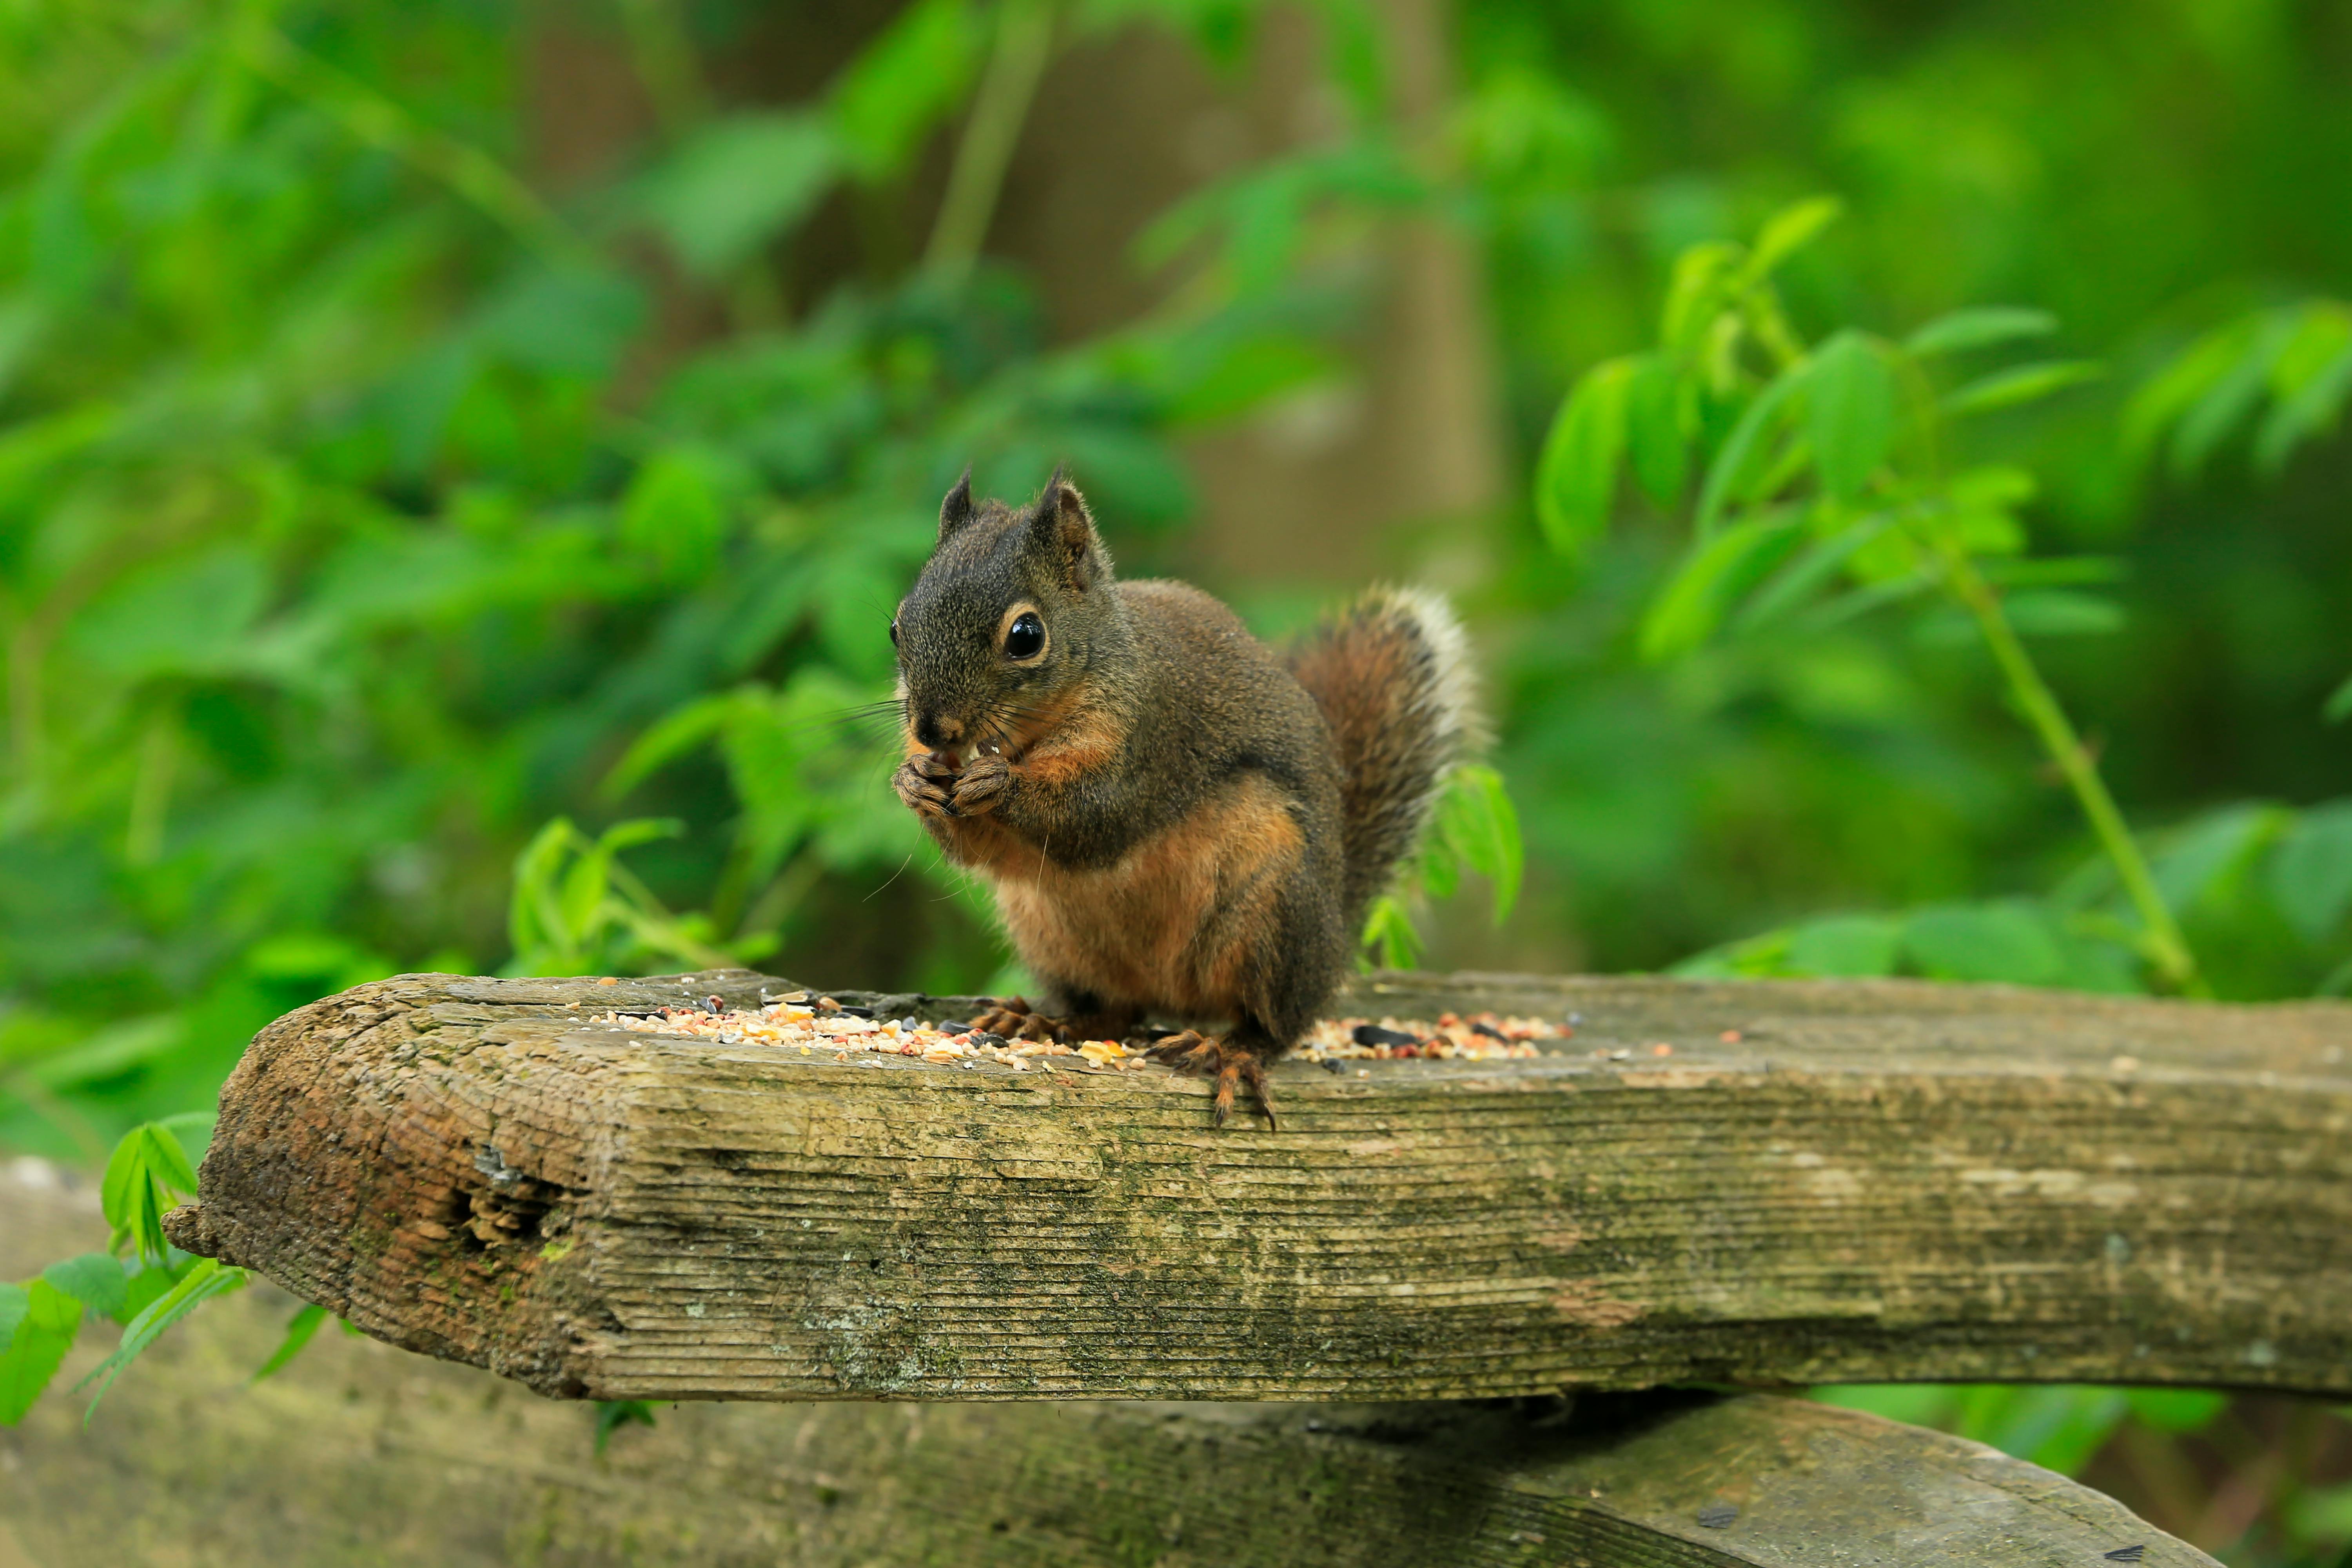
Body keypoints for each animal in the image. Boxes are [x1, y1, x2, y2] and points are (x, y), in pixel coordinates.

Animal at [889, 465, 1477, 1128]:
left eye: (1026, 636)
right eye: (897, 626)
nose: (933, 730)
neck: (1030, 734)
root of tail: (1334, 933)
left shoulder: (1149, 739)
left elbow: (1096, 819)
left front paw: (1000, 785)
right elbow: (988, 854)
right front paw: (913, 782)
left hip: (1273, 915)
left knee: (1277, 1023)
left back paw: (1231, 1051)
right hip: (1054, 938)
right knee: (1115, 1010)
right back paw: (1043, 1019)